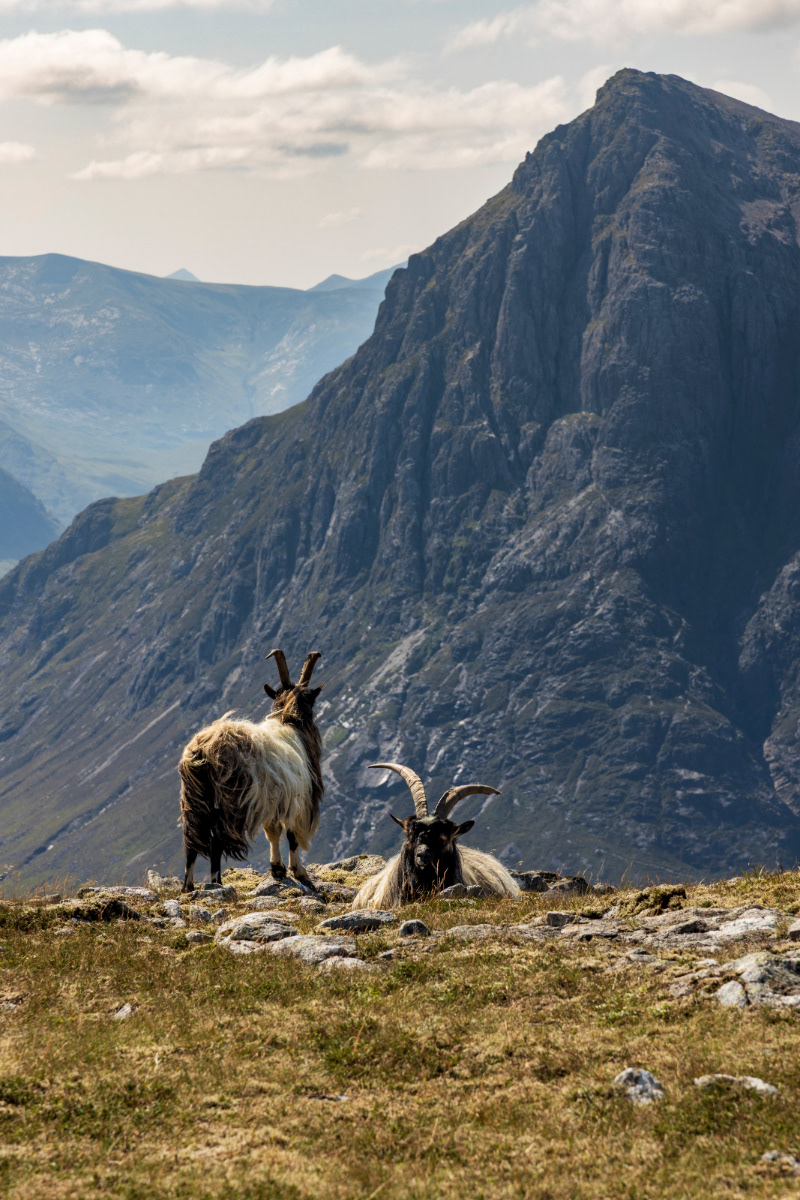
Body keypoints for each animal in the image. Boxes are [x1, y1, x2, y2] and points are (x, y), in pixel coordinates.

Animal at [178, 649, 323, 893]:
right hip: (229, 803)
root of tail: (201, 751)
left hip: (195, 799)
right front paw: (299, 872)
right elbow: (291, 835)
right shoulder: (295, 800)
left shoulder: (273, 800)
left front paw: (277, 869)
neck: (291, 722)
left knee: (191, 841)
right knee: (216, 841)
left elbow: (273, 832)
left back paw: (188, 887)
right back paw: (216, 883)